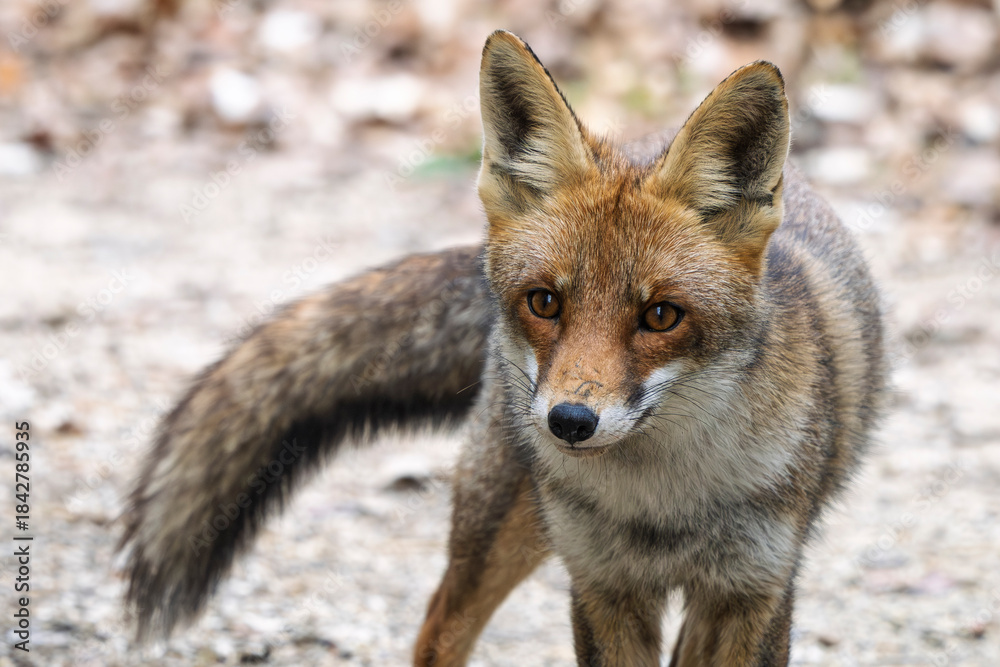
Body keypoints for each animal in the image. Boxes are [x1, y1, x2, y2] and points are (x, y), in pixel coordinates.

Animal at [120, 30, 886, 666]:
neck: (660, 503)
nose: (569, 422)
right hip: (500, 528)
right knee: (438, 630)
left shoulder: (753, 590)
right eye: (545, 302)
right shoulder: (601, 586)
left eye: (661, 315)